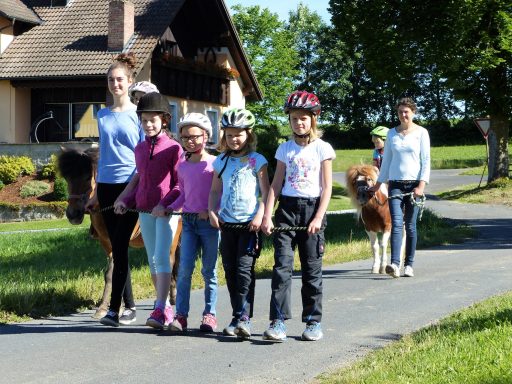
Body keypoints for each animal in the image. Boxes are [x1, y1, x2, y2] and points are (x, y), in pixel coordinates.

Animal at [57, 147, 181, 318]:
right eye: (67, 178)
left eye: (88, 177)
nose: (72, 214)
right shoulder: (106, 243)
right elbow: (113, 272)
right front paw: (109, 306)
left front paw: (111, 307)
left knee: (169, 262)